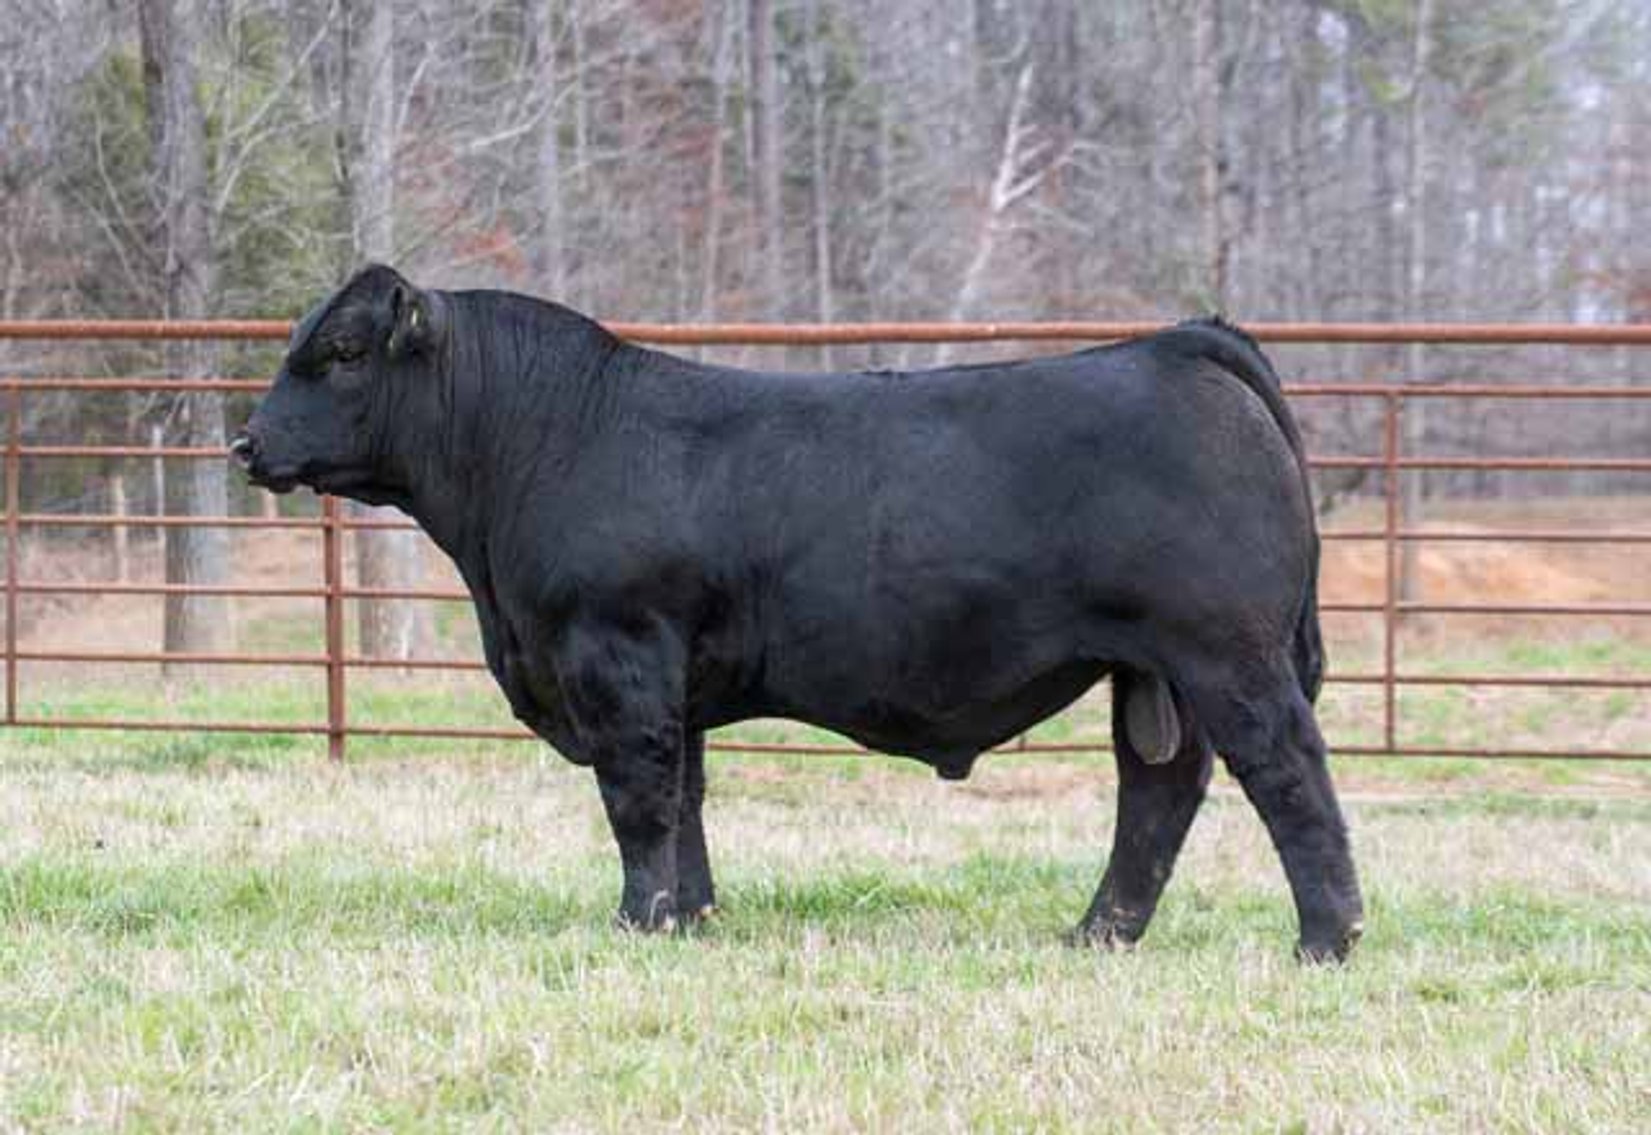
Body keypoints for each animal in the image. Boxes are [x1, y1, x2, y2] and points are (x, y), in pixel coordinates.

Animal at [234, 265, 1364, 961]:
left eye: (342, 351)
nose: (246, 444)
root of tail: (1176, 344)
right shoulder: (674, 681)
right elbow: (684, 796)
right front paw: (688, 916)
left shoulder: (618, 652)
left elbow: (636, 796)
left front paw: (637, 920)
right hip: (1155, 670)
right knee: (1158, 793)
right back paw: (1099, 932)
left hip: (1224, 651)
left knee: (1285, 773)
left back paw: (1325, 938)